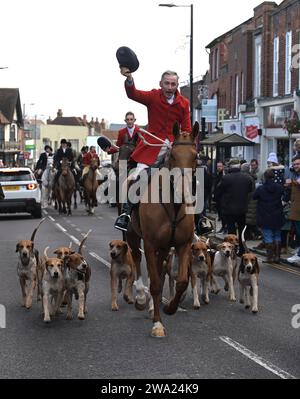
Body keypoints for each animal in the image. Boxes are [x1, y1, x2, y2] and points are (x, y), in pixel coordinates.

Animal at [126, 122, 199, 338]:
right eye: (173, 155)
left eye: (195, 156)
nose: (183, 191)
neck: (174, 205)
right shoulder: (149, 244)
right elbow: (157, 285)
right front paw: (158, 324)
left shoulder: (183, 244)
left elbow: (181, 281)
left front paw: (169, 308)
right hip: (133, 235)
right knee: (137, 258)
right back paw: (142, 299)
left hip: (165, 246)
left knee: (157, 269)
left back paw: (152, 305)